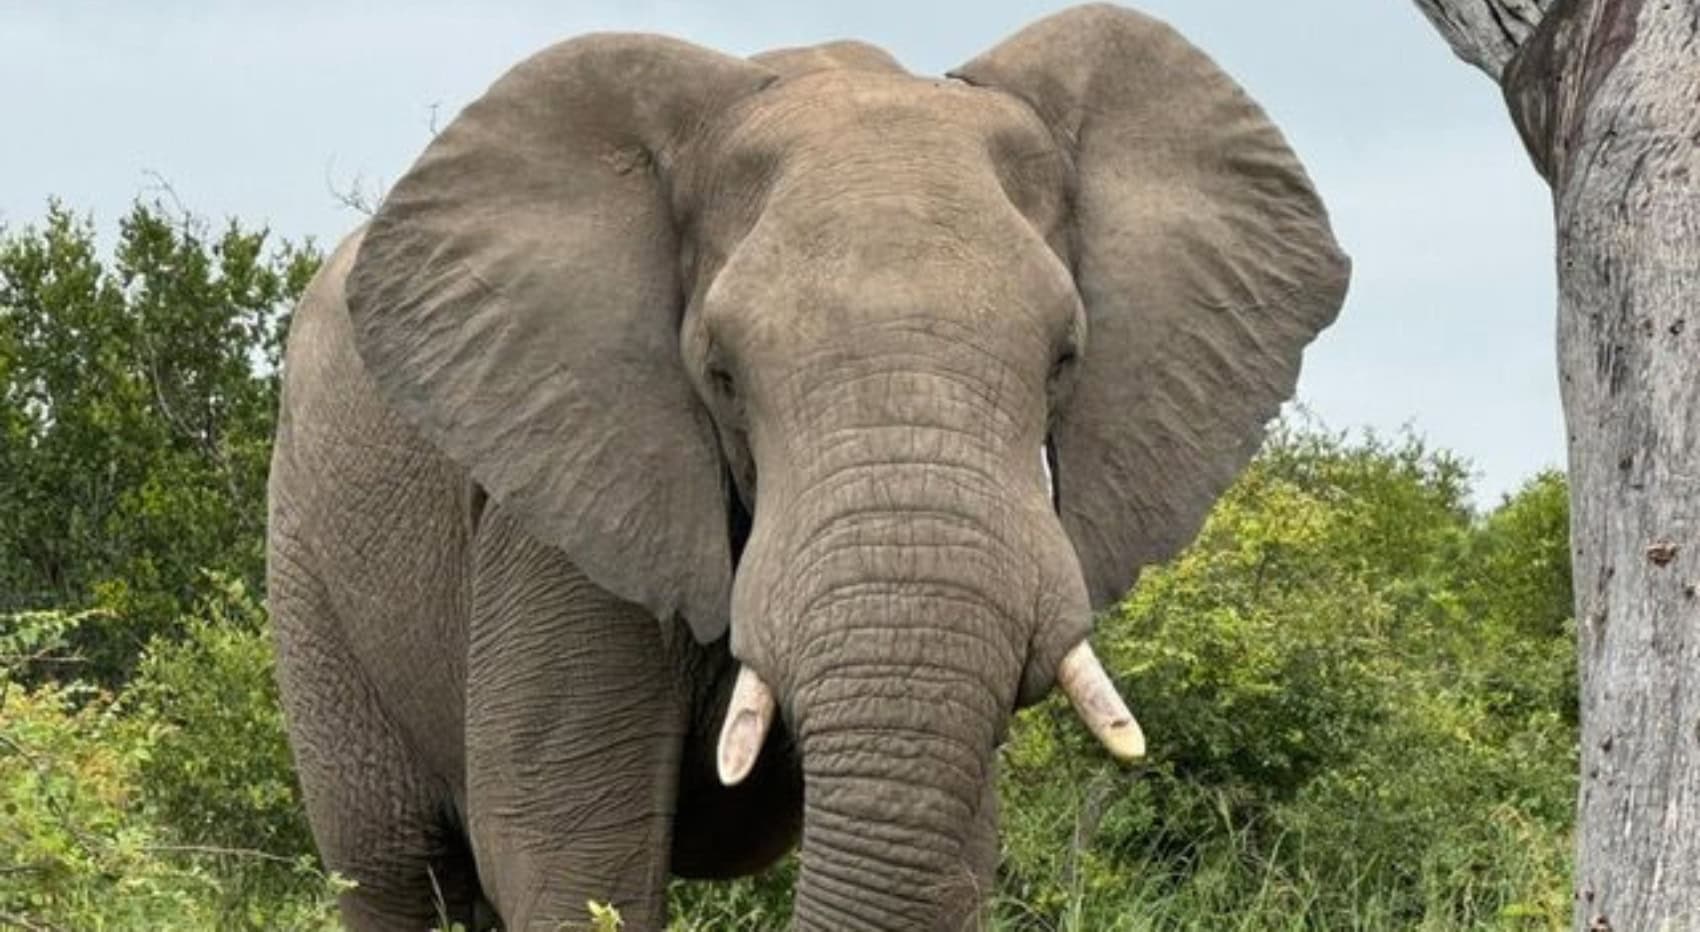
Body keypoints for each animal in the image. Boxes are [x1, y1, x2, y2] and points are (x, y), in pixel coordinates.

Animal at [265, 4, 1349, 930]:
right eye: (720, 373)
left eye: (1066, 359)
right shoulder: (556, 496)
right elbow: (564, 847)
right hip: (306, 561)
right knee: (398, 871)